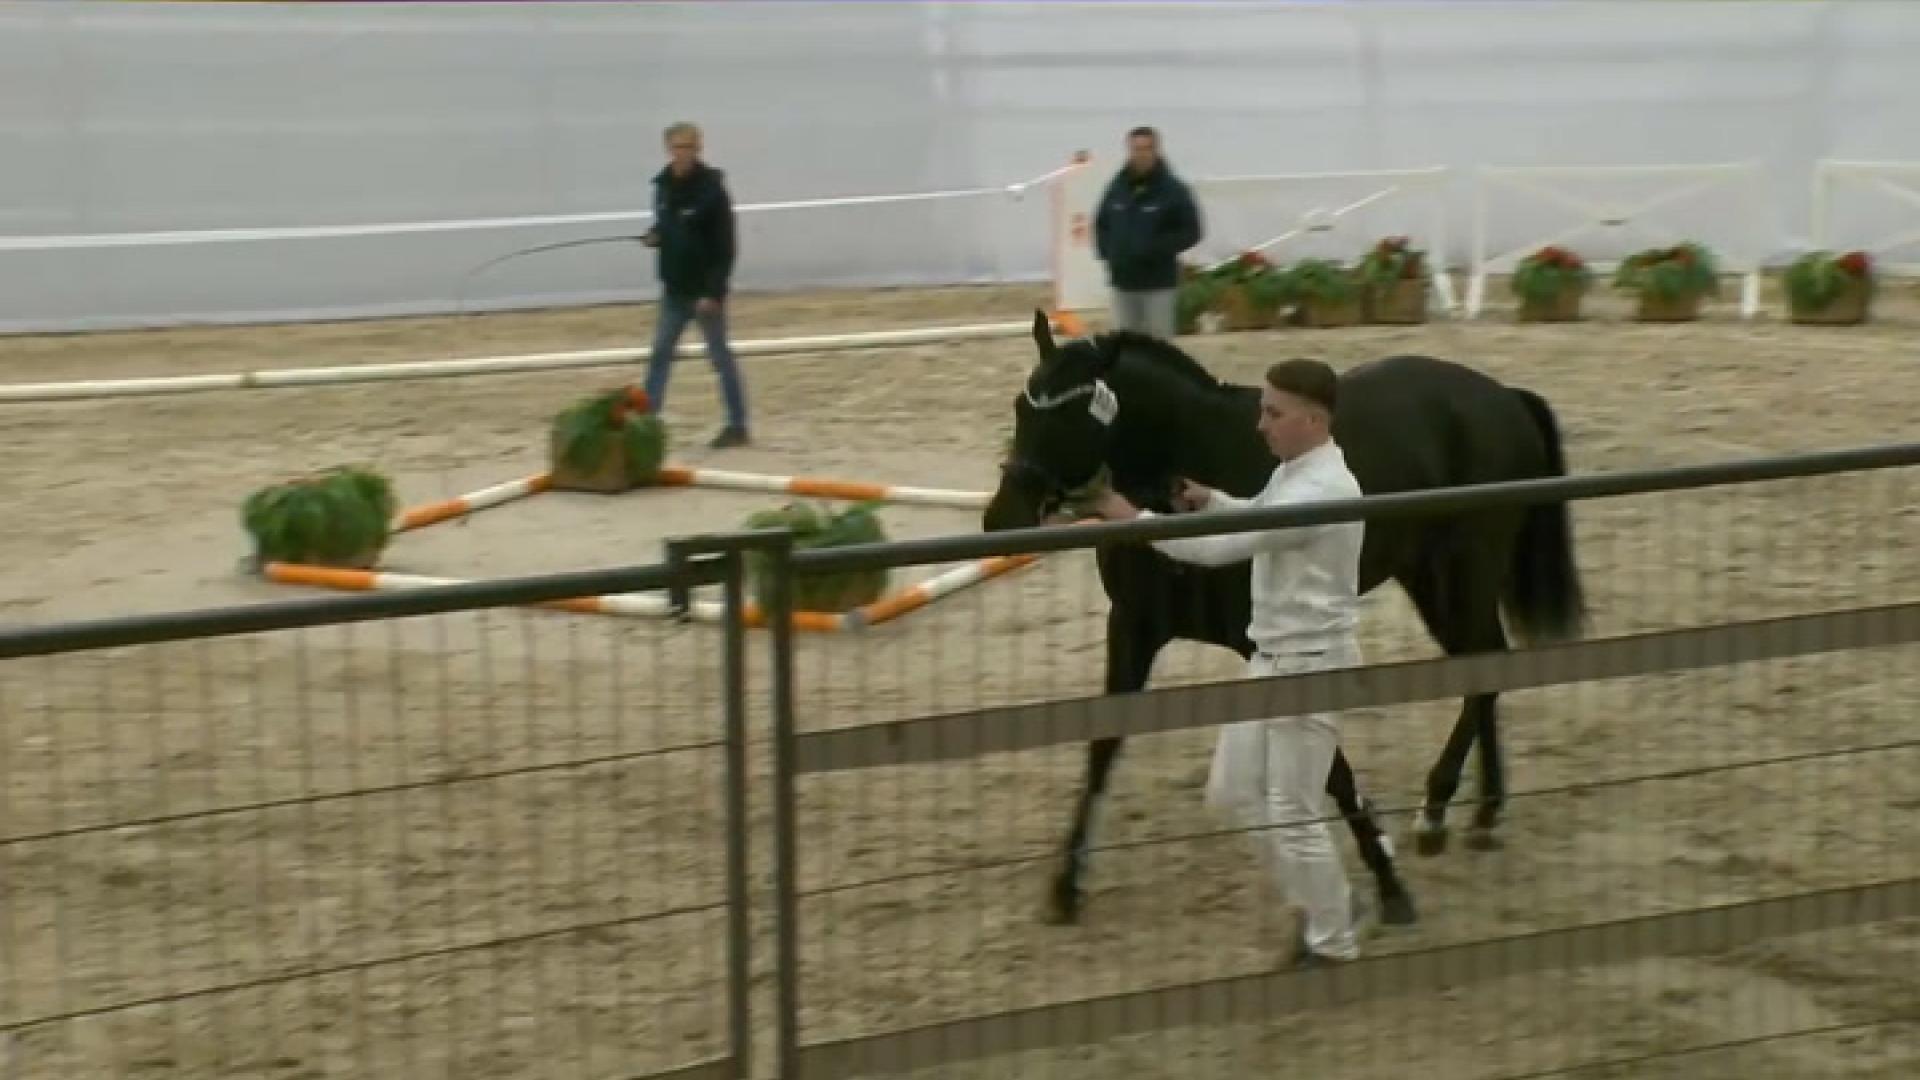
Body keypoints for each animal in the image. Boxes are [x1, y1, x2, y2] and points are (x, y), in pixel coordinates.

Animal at [982, 311, 1587, 927]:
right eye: (1021, 408)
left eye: (1070, 416)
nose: (1000, 519)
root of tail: (1503, 396)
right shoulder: (1133, 629)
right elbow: (1103, 745)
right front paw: (1065, 885)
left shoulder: (1269, 644)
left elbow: (1336, 773)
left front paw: (1388, 883)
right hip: (1430, 580)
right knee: (1482, 666)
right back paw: (1481, 812)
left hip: (1462, 574)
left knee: (1485, 669)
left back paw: (1438, 810)